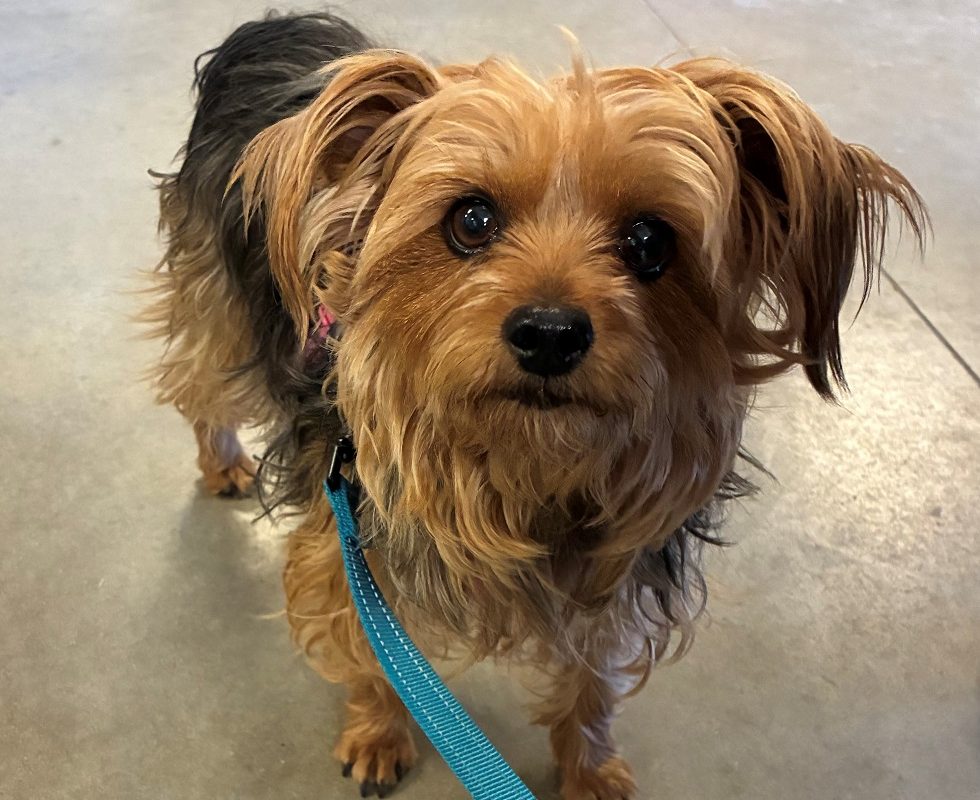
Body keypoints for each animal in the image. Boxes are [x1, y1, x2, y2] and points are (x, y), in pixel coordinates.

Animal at [142, 10, 925, 799]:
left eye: (649, 240)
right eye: (471, 221)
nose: (550, 333)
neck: (525, 461)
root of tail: (279, 24)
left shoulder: (613, 575)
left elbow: (592, 680)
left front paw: (589, 766)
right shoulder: (347, 541)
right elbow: (368, 645)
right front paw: (377, 732)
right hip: (218, 308)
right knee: (199, 384)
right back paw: (222, 462)